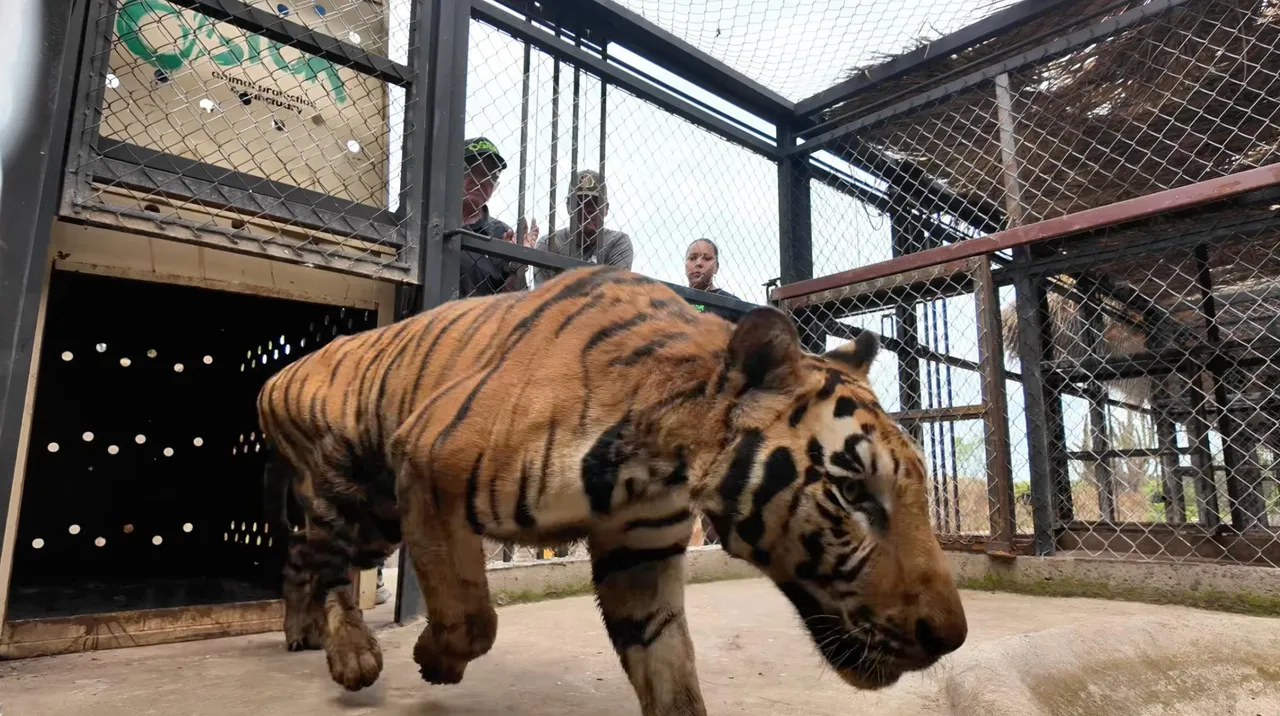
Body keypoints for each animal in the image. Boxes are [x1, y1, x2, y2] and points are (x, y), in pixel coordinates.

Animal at [256, 264, 967, 716]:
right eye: (854, 494)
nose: (950, 639)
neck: (663, 462)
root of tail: (281, 368)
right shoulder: (427, 461)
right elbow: (473, 614)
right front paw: (436, 660)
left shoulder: (640, 553)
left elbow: (670, 669)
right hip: (348, 487)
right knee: (327, 565)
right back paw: (350, 654)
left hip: (378, 514)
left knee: (301, 554)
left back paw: (302, 633)